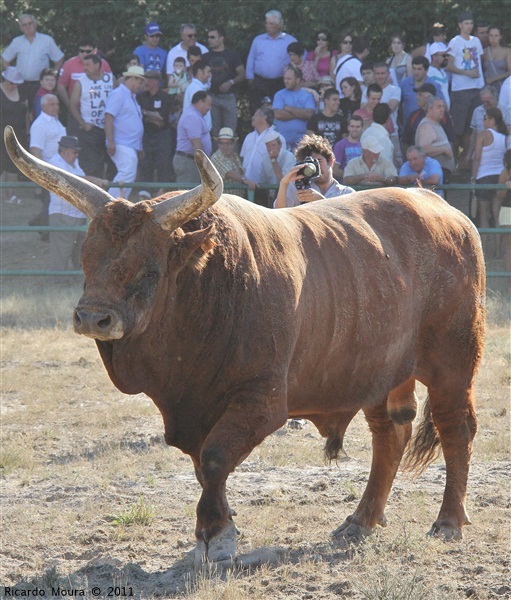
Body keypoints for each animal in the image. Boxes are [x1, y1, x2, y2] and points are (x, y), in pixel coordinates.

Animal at [6, 124, 486, 564]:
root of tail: (447, 212)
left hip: (453, 360)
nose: (93, 318)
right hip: (377, 370)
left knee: (454, 426)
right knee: (391, 432)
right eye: (87, 260)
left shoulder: (261, 399)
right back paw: (361, 519)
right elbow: (202, 466)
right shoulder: (193, 407)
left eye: (150, 270)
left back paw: (448, 521)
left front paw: (217, 536)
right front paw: (216, 528)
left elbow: (215, 458)